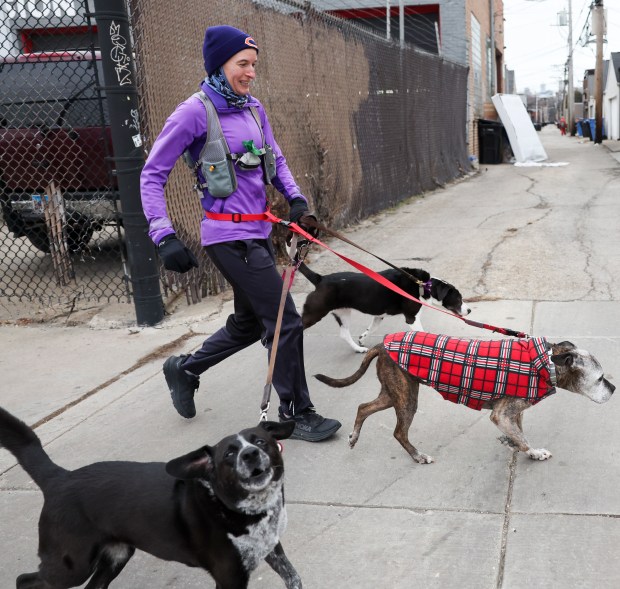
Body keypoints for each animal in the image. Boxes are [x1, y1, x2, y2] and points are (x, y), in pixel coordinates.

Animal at [0, 408, 300, 588]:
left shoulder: (272, 548)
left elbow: (293, 576)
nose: (250, 455)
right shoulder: (230, 577)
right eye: (228, 454)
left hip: (117, 555)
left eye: (260, 441)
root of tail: (59, 478)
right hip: (72, 566)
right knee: (25, 580)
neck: (228, 506)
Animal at [300, 262, 470, 354]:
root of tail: (320, 279)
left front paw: (362, 339)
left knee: (344, 333)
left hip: (343, 312)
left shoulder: (379, 316)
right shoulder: (412, 317)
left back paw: (358, 349)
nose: (469, 310)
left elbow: (371, 329)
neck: (422, 285)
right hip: (314, 313)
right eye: (458, 298)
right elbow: (422, 332)